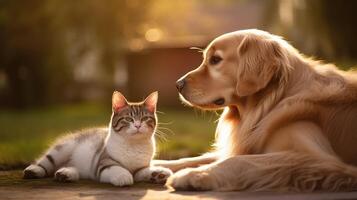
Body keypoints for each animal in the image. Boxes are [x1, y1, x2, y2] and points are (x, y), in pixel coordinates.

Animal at [23, 92, 172, 186]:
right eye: (129, 119)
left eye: (145, 118)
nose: (137, 125)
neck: (133, 145)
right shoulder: (103, 164)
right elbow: (117, 168)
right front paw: (124, 176)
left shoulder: (140, 168)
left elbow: (143, 171)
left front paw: (158, 173)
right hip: (63, 149)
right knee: (46, 162)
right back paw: (34, 170)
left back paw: (65, 173)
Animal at [154, 29, 357, 191]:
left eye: (216, 60)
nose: (178, 84)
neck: (274, 99)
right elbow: (196, 158)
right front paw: (156, 165)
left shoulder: (317, 158)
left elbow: (239, 161)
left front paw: (193, 174)